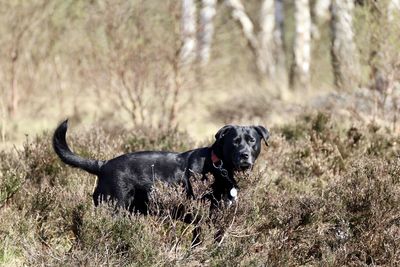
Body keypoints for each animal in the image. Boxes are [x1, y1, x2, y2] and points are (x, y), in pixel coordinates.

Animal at [52, 122, 268, 242]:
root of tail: (103, 165)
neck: (219, 166)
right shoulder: (200, 221)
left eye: (252, 140)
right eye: (235, 141)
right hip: (112, 210)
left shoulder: (221, 221)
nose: (244, 155)